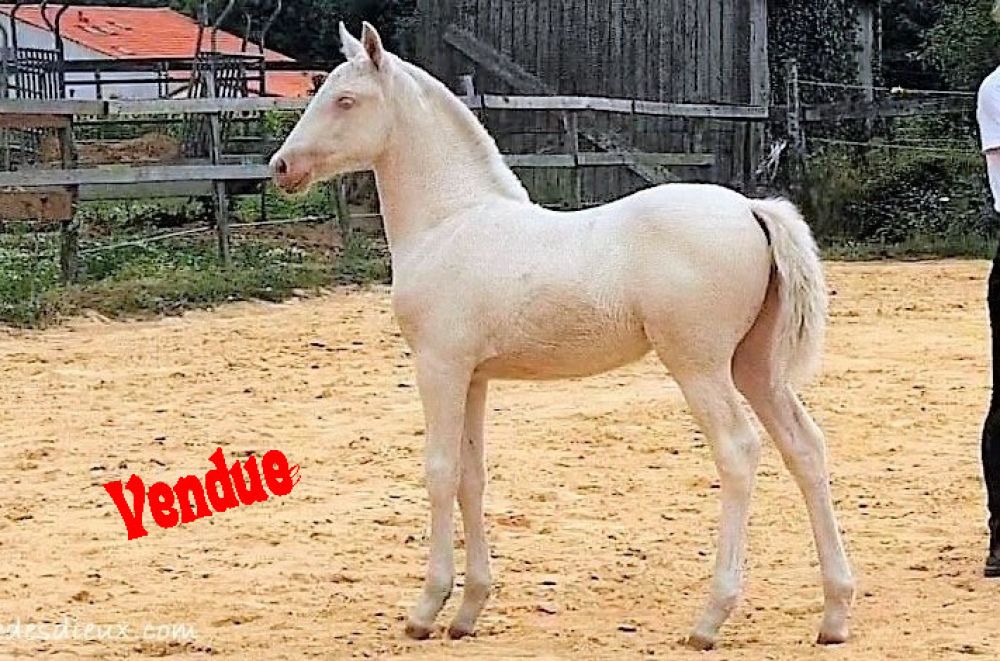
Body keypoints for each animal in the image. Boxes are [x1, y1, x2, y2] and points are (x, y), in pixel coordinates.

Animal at [270, 22, 855, 650]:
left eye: (345, 100)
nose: (281, 167)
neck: (451, 221)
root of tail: (751, 209)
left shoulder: (439, 366)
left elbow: (440, 472)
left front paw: (427, 608)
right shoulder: (474, 377)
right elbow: (472, 477)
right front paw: (469, 610)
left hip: (699, 366)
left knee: (739, 452)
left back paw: (710, 619)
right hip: (755, 366)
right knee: (805, 448)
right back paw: (834, 614)